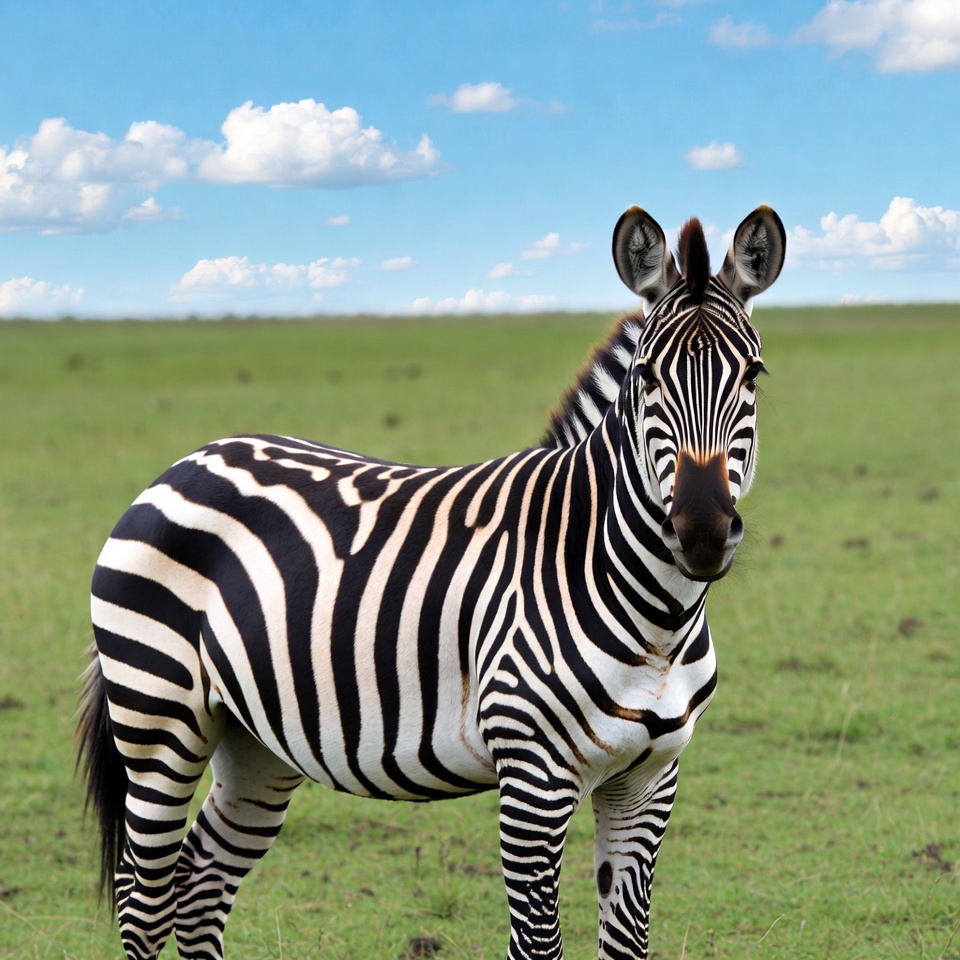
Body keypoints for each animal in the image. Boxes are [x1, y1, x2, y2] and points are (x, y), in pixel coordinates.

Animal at [77, 203, 785, 960]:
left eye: (754, 375)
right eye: (647, 376)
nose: (702, 530)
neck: (655, 618)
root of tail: (184, 464)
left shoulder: (650, 778)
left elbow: (626, 941)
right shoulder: (532, 777)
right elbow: (537, 944)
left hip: (254, 738)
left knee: (201, 885)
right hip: (158, 720)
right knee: (145, 899)